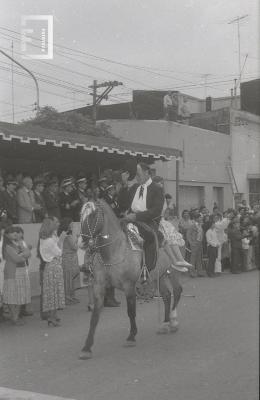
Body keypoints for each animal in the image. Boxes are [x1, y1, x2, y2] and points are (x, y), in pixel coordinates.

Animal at [78, 200, 182, 360]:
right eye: (80, 215)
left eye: (94, 215)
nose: (82, 242)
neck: (114, 251)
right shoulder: (99, 286)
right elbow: (95, 316)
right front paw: (87, 347)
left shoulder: (129, 286)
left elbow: (131, 311)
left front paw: (131, 337)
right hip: (159, 276)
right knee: (166, 296)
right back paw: (165, 324)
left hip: (172, 271)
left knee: (176, 292)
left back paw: (173, 322)